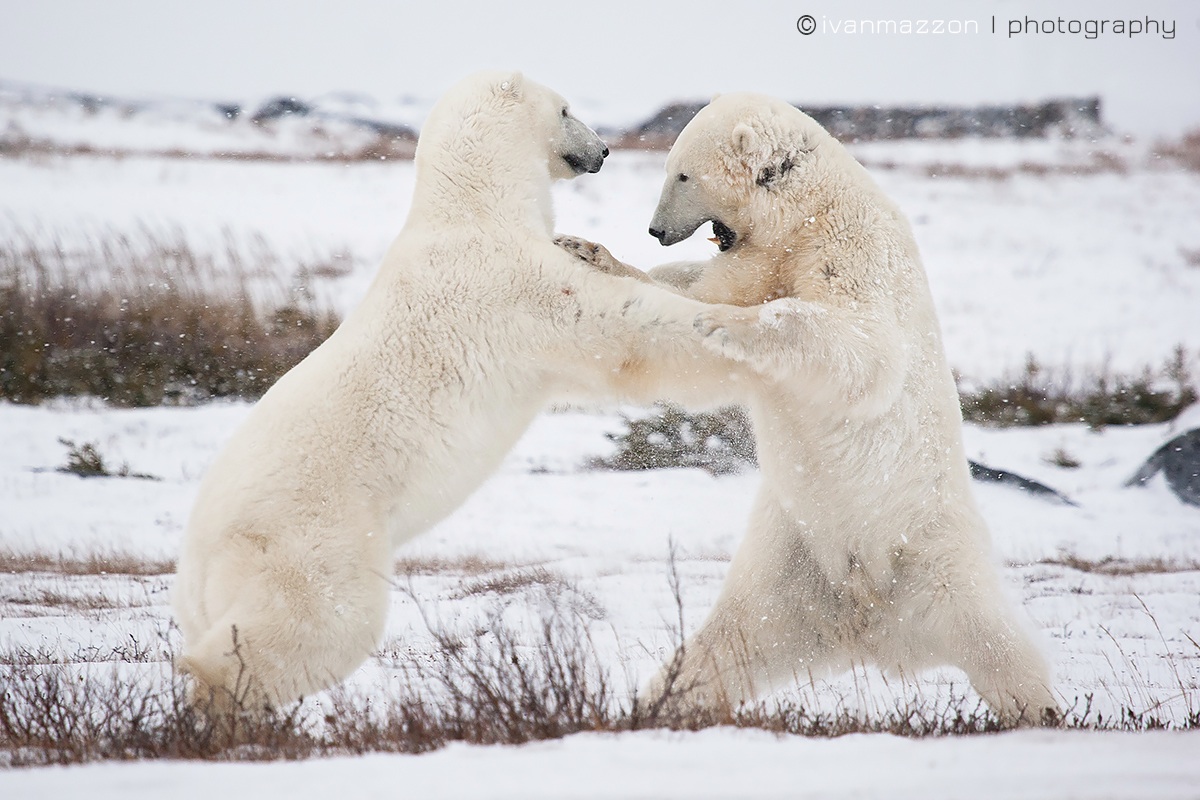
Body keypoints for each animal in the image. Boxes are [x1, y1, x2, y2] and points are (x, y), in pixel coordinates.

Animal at [171, 71, 742, 711]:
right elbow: (624, 330)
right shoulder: (516, 289)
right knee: (319, 622)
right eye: (566, 109)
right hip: (310, 537)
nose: (602, 151)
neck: (475, 207)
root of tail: (198, 559)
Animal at [558, 93, 1059, 725]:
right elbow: (691, 298)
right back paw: (653, 706)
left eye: (682, 174)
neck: (807, 213)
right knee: (728, 643)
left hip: (931, 554)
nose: (655, 229)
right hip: (793, 560)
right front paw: (588, 251)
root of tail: (872, 622)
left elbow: (861, 348)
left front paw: (724, 324)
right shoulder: (764, 260)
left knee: (995, 640)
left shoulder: (852, 250)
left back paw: (1045, 710)